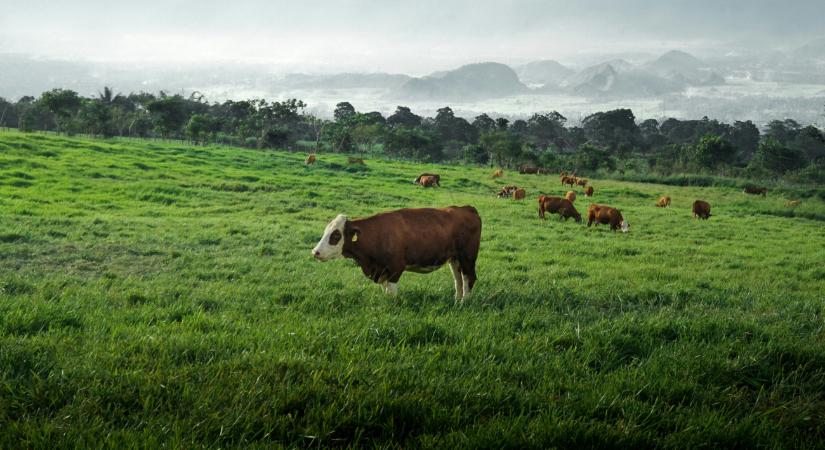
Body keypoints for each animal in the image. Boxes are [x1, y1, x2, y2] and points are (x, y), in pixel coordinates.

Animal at [310, 207, 480, 302]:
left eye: (336, 235)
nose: (315, 252)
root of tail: (467, 208)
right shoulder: (381, 270)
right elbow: (385, 289)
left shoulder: (396, 268)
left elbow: (391, 292)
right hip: (455, 259)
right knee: (458, 279)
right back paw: (457, 299)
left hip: (467, 257)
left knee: (468, 278)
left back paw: (464, 301)